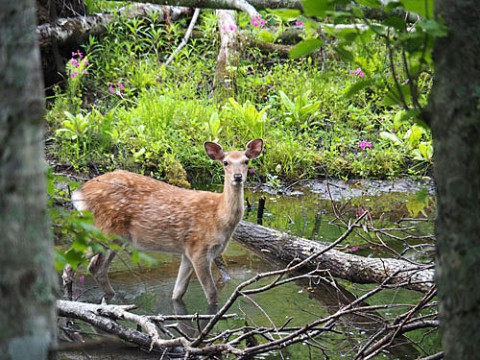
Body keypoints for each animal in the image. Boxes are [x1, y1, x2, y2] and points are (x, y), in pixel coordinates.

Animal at [64, 138, 264, 304]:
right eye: (225, 162)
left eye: (246, 161)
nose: (237, 177)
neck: (219, 217)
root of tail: (79, 192)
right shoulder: (199, 249)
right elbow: (211, 294)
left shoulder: (187, 252)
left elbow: (178, 293)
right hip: (102, 230)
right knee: (70, 263)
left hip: (116, 238)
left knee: (95, 268)